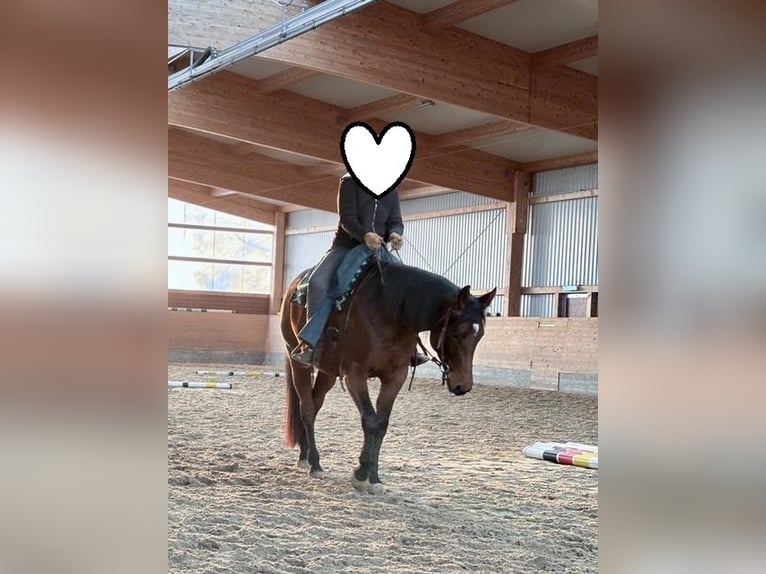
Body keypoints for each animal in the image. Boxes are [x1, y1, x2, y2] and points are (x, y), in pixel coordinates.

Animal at [280, 256, 496, 494]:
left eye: (479, 336)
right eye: (456, 334)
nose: (463, 385)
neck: (391, 313)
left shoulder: (395, 376)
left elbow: (381, 423)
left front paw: (373, 477)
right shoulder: (354, 373)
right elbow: (370, 421)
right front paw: (361, 473)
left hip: (328, 371)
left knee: (315, 403)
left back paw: (306, 455)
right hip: (297, 362)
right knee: (307, 408)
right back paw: (315, 464)